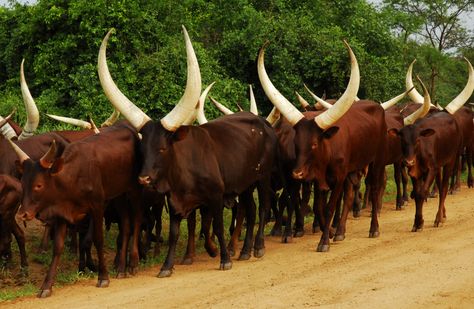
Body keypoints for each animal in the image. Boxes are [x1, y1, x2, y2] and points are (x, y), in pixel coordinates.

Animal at [10, 121, 143, 298]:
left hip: (134, 189)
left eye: (39, 185)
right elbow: (58, 247)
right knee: (126, 224)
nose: (22, 214)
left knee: (137, 219)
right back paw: (121, 268)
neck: (72, 177)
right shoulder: (62, 214)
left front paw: (103, 277)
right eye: (23, 183)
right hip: (118, 194)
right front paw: (46, 286)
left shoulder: (97, 206)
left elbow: (98, 240)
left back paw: (133, 263)